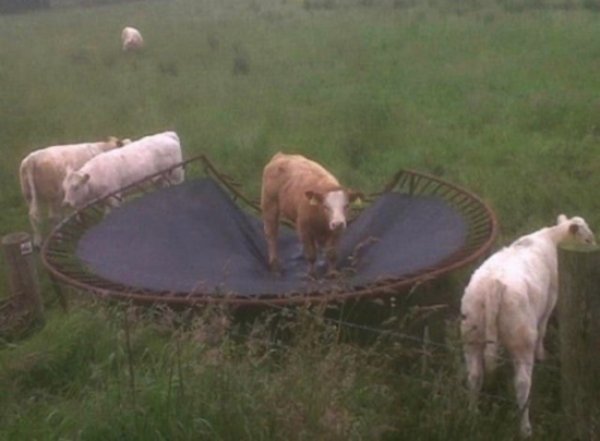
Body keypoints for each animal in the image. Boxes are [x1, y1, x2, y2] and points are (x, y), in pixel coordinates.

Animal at [460, 214, 596, 436]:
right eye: (587, 240)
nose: (594, 247)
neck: (552, 237)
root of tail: (493, 285)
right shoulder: (551, 300)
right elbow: (543, 329)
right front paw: (542, 355)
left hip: (471, 336)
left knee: (474, 376)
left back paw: (472, 416)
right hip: (522, 340)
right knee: (522, 384)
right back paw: (525, 429)